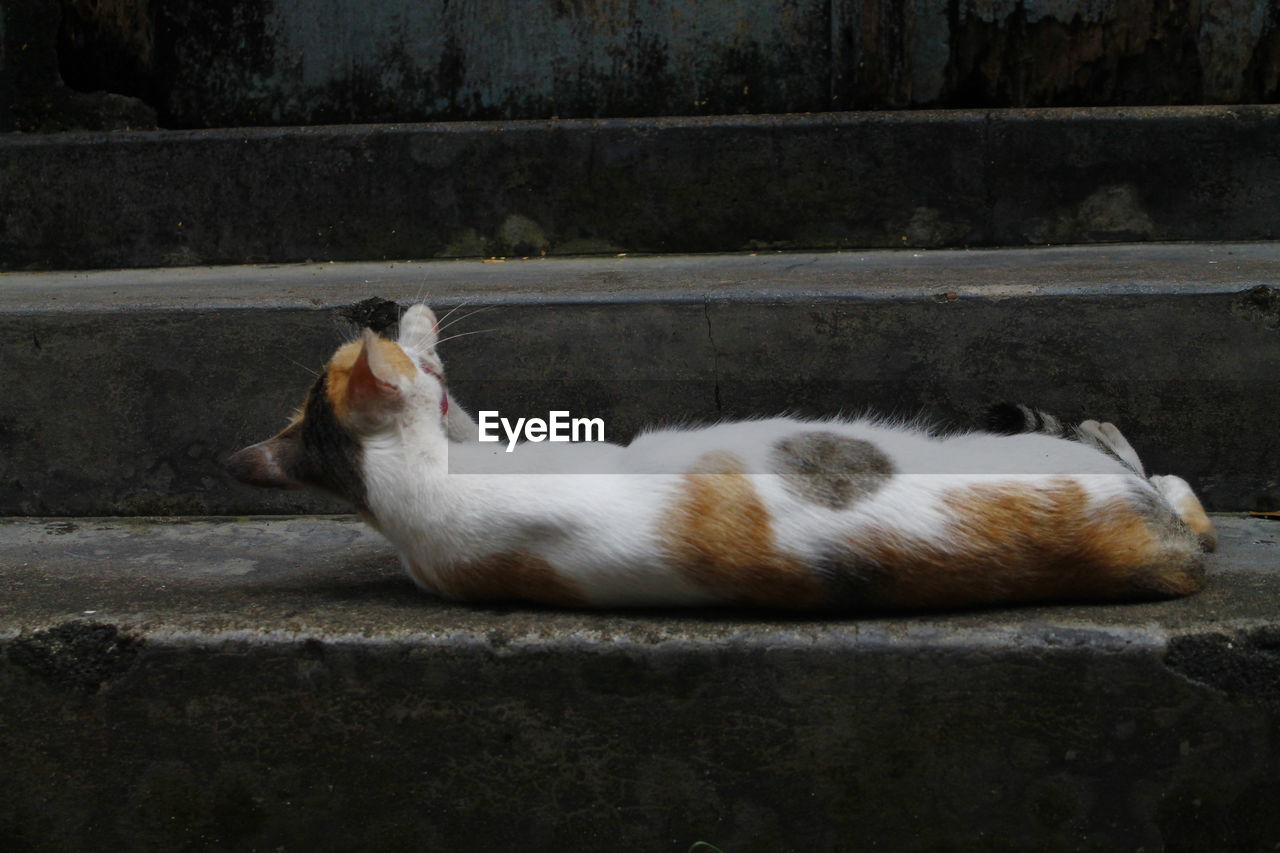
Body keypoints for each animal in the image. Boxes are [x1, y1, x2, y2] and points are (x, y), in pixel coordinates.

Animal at [225, 302, 1213, 607]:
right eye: (402, 351)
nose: (403, 308)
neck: (408, 498)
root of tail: (1157, 555)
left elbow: (463, 414)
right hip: (1078, 470)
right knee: (1169, 487)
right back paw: (1134, 453)